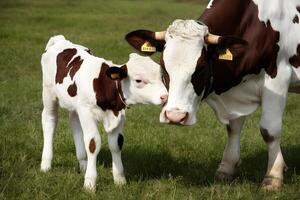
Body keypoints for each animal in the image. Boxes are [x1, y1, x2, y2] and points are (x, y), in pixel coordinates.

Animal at [39, 35, 168, 191]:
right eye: (138, 80)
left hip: (75, 106)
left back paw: (83, 163)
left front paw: (119, 180)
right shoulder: (87, 113)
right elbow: (93, 144)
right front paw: (89, 183)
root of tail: (61, 40)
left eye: (161, 76)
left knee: (75, 124)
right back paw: (46, 164)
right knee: (49, 121)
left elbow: (116, 144)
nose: (165, 96)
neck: (104, 86)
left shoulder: (119, 115)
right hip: (48, 93)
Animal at [125, 0, 300, 191]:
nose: (175, 116)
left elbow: (269, 130)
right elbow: (233, 128)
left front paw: (273, 177)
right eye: (163, 66)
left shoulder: (279, 77)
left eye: (201, 67)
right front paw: (226, 169)